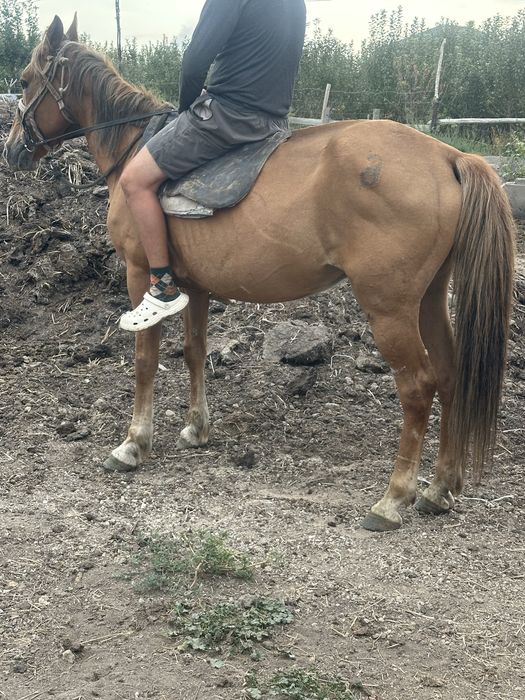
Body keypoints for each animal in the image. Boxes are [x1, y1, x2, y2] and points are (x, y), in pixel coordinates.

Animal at [5, 15, 516, 531]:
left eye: (24, 82)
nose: (12, 151)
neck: (133, 143)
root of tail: (449, 157)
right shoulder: (196, 288)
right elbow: (194, 352)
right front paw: (197, 428)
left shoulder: (139, 272)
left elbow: (145, 360)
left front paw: (133, 444)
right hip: (428, 299)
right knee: (451, 376)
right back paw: (440, 488)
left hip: (389, 307)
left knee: (418, 388)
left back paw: (394, 498)